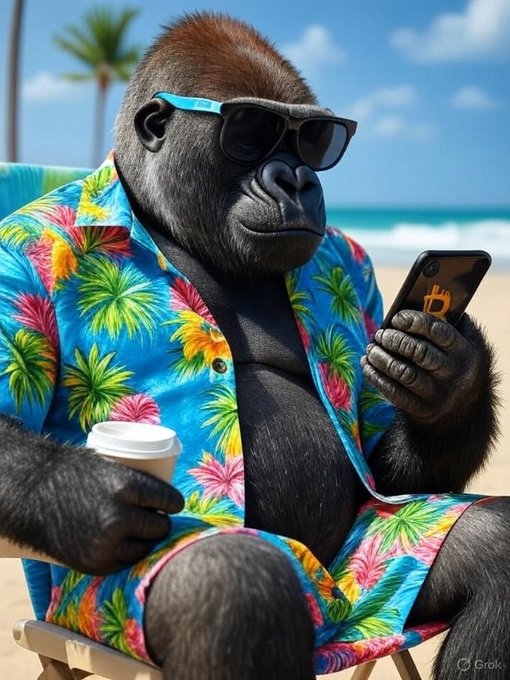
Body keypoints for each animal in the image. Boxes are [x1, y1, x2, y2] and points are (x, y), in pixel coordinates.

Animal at [0, 12, 505, 680]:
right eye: (253, 132)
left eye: (315, 141)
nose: (295, 174)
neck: (163, 220)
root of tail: (337, 623)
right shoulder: (14, 252)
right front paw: (89, 499)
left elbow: (382, 459)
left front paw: (450, 379)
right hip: (95, 610)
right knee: (229, 589)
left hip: (376, 578)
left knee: (489, 544)